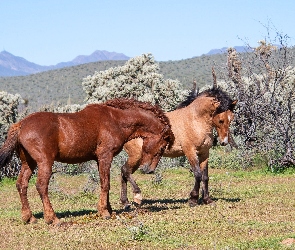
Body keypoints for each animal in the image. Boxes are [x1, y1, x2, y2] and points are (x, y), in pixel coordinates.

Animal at [0, 98, 175, 226]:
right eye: (162, 147)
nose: (148, 169)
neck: (116, 119)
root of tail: (20, 124)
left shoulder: (99, 159)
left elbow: (103, 182)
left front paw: (108, 209)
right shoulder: (105, 156)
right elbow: (106, 184)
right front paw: (105, 212)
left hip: (28, 163)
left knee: (21, 185)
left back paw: (29, 217)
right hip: (44, 162)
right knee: (41, 186)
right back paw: (52, 218)